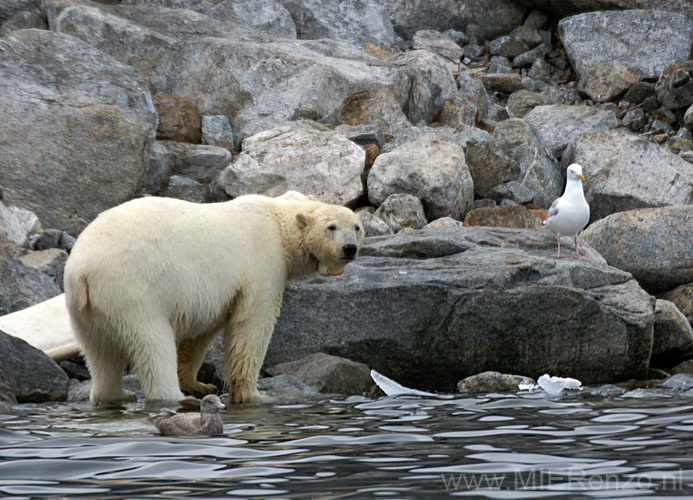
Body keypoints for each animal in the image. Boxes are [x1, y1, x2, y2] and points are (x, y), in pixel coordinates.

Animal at [62, 193, 364, 404]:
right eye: (332, 227)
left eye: (357, 227)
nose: (349, 248)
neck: (276, 220)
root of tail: (82, 270)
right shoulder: (263, 262)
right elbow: (251, 326)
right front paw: (253, 395)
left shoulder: (214, 296)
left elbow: (201, 334)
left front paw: (198, 383)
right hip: (133, 291)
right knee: (152, 344)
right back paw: (172, 397)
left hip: (86, 310)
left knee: (100, 353)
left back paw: (117, 395)